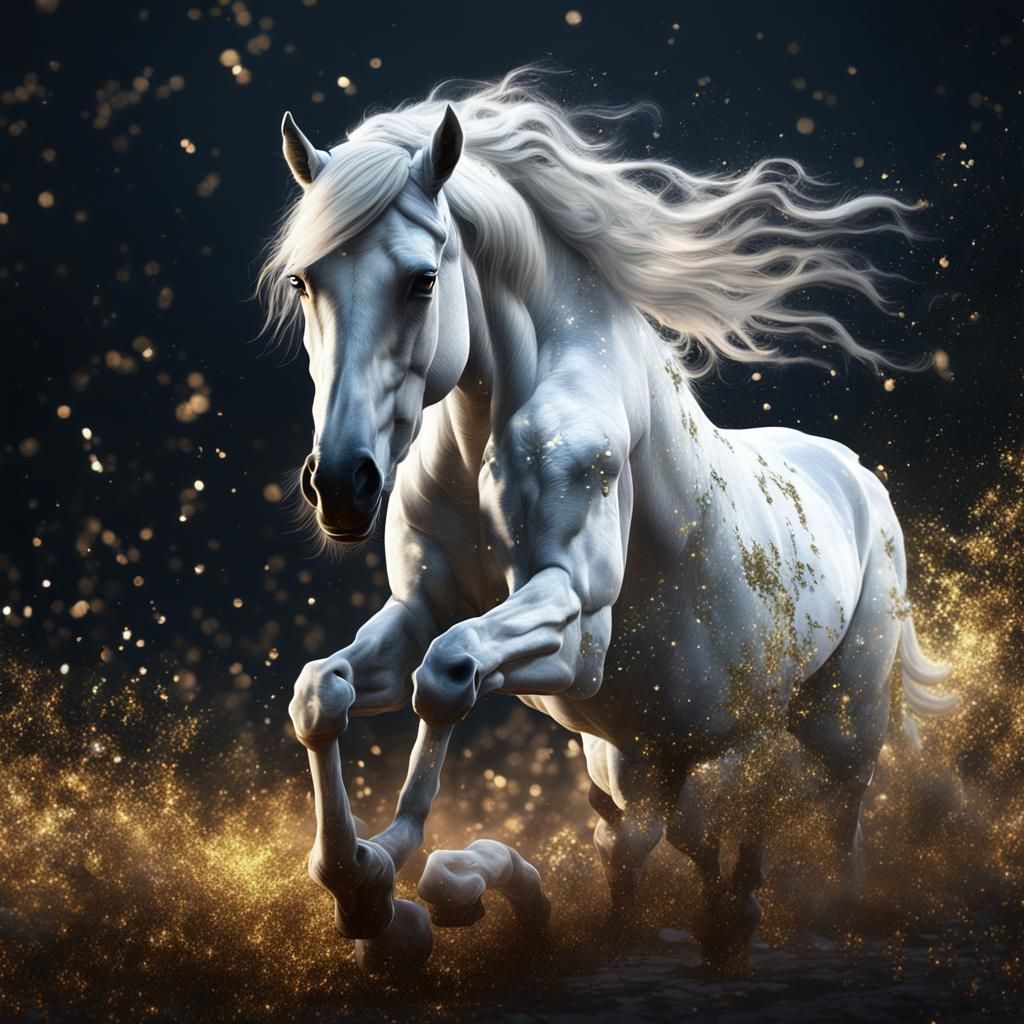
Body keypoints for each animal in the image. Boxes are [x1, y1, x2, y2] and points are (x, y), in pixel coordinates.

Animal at [264, 70, 958, 971]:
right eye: (302, 282)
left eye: (421, 280)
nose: (342, 486)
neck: (496, 413)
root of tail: (858, 478)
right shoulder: (418, 609)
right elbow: (322, 694)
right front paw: (359, 892)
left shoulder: (576, 631)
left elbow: (447, 675)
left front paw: (395, 873)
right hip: (640, 755)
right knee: (673, 835)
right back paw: (702, 918)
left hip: (840, 719)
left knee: (833, 811)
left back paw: (823, 912)